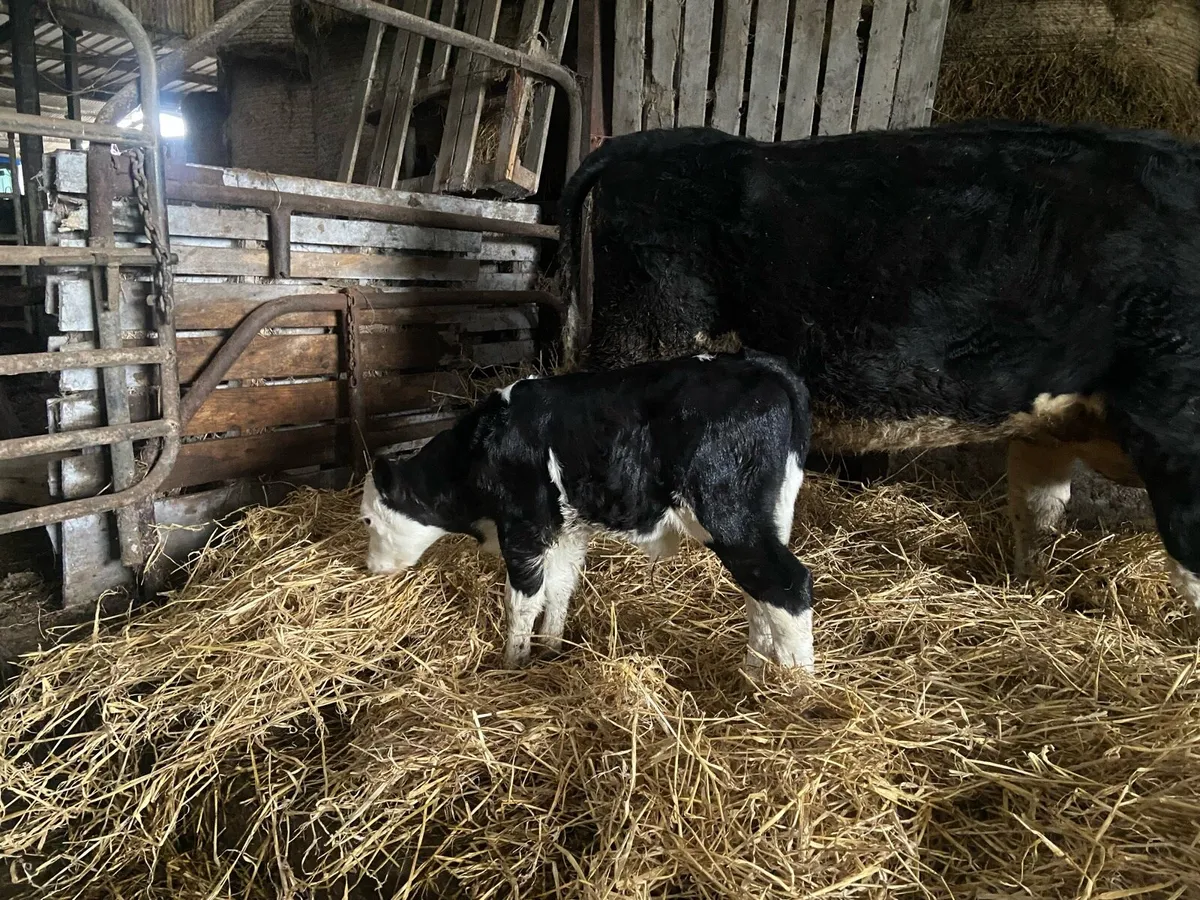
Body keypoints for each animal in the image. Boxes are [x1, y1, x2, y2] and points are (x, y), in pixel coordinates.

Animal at [360, 350, 817, 672]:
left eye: (367, 519)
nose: (369, 568)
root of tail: (759, 364)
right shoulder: (567, 530)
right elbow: (561, 587)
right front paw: (551, 648)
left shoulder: (523, 528)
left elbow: (523, 600)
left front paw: (513, 662)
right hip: (769, 517)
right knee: (759, 596)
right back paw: (753, 673)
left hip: (727, 515)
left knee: (787, 585)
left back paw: (797, 690)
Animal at [556, 120, 1200, 616]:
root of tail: (646, 142)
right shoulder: (1175, 429)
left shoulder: (1049, 425)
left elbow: (1036, 517)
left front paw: (1033, 594)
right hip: (643, 337)